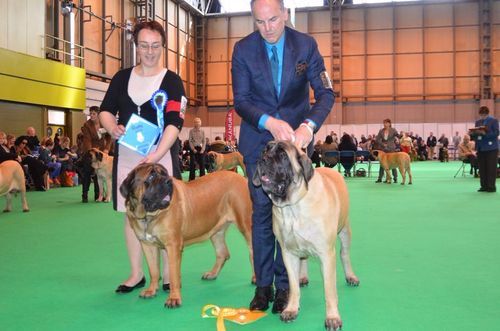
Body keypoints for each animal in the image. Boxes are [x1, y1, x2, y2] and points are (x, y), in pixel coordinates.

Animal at [120, 165, 254, 308]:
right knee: (223, 253)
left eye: (165, 174)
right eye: (151, 176)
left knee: (253, 252)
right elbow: (153, 271)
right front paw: (151, 290)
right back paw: (212, 274)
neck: (148, 216)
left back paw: (255, 278)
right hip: (215, 230)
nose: (169, 181)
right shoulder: (147, 245)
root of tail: (241, 178)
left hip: (246, 225)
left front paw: (173, 298)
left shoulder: (173, 246)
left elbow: (173, 274)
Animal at [254, 141, 360, 331]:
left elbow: (329, 290)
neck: (292, 206)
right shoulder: (288, 253)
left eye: (282, 155)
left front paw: (333, 317)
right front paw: (291, 309)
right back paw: (303, 277)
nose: (262, 159)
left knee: (345, 255)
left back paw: (351, 276)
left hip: (345, 230)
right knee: (303, 259)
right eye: (264, 151)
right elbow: (293, 285)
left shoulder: (326, 254)